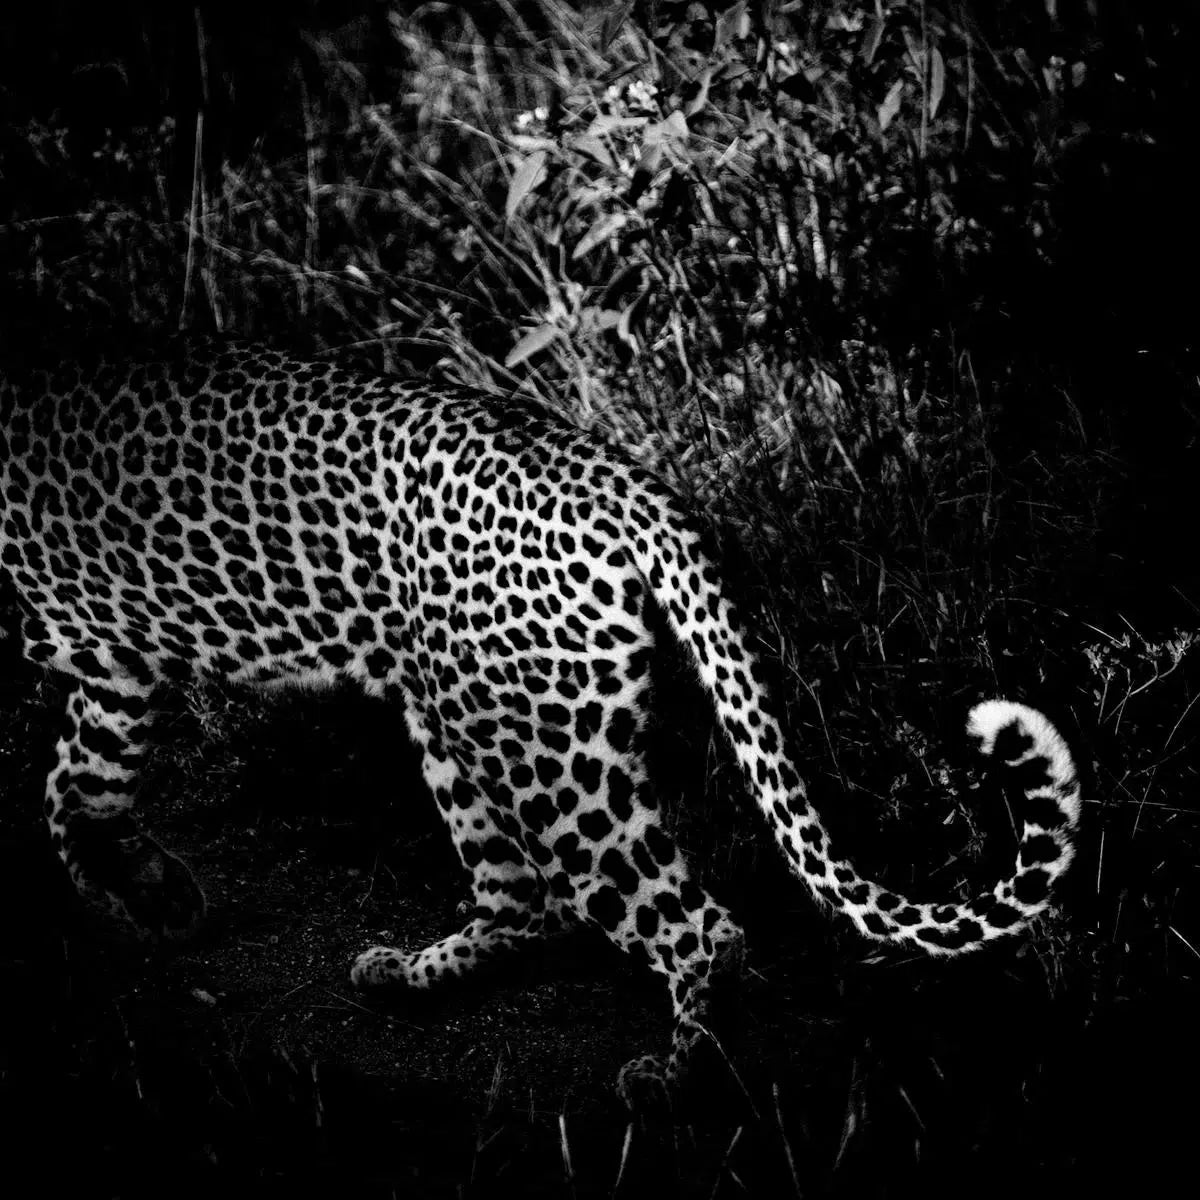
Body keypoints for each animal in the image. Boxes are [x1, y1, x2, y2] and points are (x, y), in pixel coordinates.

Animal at [0, 341, 1082, 1105]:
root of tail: (613, 473)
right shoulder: (113, 662)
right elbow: (74, 788)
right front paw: (149, 896)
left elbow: (64, 787)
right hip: (467, 715)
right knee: (525, 895)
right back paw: (409, 972)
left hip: (543, 751)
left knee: (693, 923)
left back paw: (678, 1076)